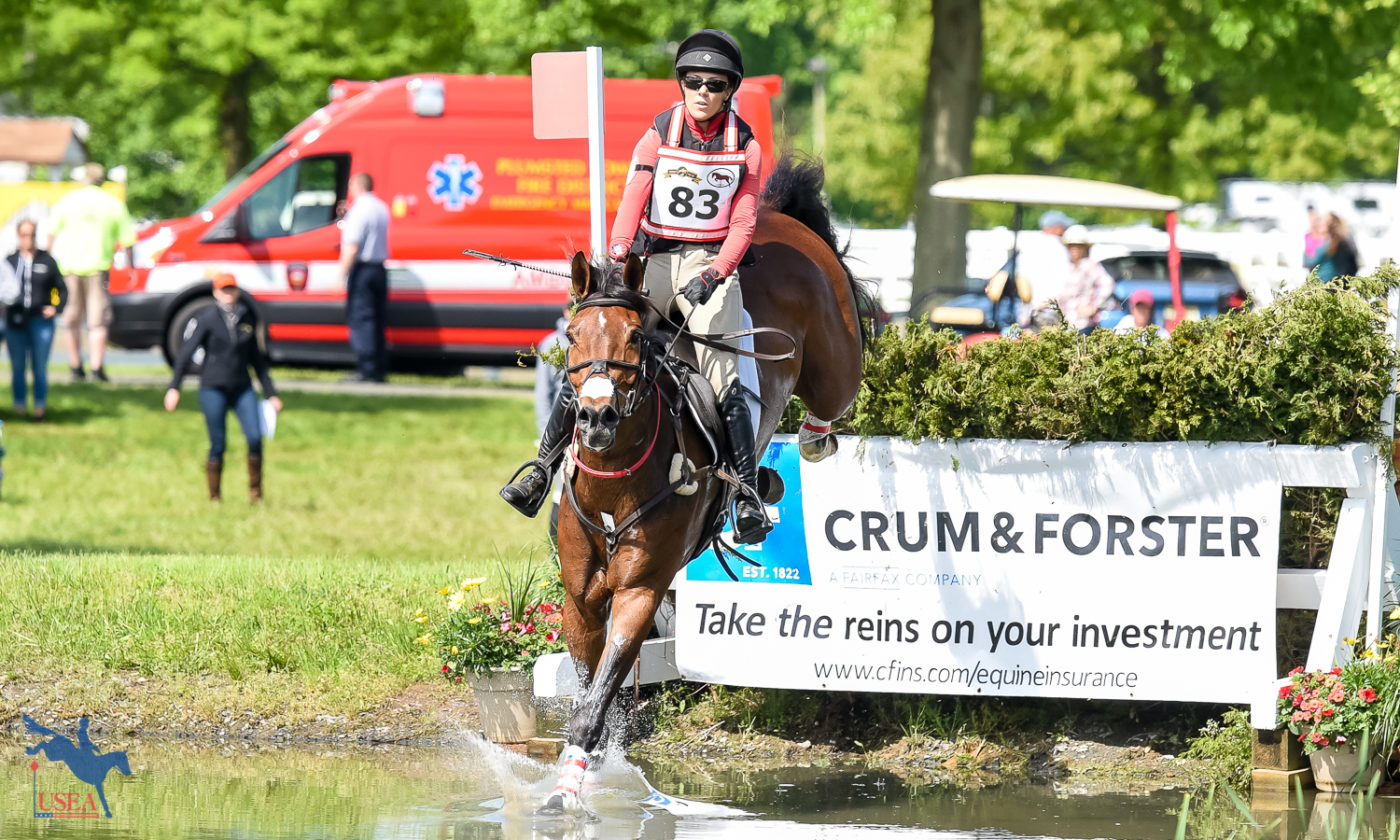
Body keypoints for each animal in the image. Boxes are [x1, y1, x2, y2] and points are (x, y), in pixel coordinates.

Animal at [543, 157, 862, 812]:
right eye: (571, 337)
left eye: (636, 339)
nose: (596, 417)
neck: (614, 485)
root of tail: (777, 217)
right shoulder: (581, 599)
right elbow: (591, 690)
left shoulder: (640, 592)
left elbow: (594, 706)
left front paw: (565, 795)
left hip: (836, 357)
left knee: (831, 397)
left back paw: (806, 447)